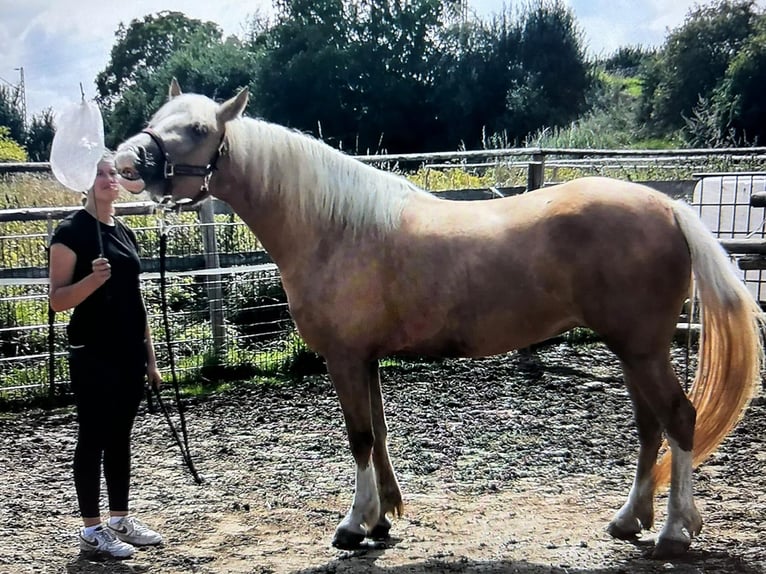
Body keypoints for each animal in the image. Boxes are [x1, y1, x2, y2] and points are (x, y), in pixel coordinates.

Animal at [117, 81, 764, 560]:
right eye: (159, 117)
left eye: (199, 129)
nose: (126, 160)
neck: (333, 227)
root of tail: (669, 205)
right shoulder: (365, 360)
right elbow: (378, 434)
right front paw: (381, 520)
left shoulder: (345, 359)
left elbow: (358, 437)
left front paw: (354, 524)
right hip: (633, 349)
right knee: (650, 426)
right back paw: (630, 520)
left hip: (643, 348)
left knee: (679, 420)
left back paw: (674, 532)